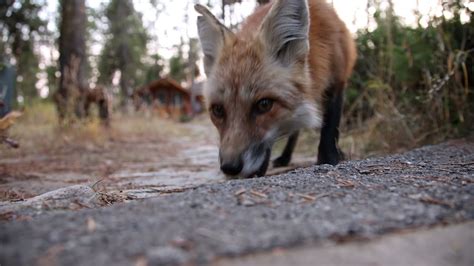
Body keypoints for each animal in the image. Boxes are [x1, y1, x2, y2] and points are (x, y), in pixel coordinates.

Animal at [195, 0, 356, 179]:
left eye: (264, 105)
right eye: (218, 110)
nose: (229, 168)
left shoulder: (337, 82)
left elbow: (330, 128)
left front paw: (329, 158)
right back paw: (285, 157)